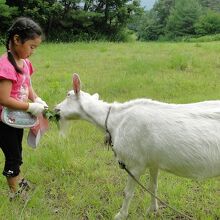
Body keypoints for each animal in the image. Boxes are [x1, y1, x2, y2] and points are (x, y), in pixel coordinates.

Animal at [55, 74, 220, 220]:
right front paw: (152, 210)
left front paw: (120, 215)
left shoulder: (134, 164)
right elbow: (153, 186)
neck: (115, 121)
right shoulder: (153, 161)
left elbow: (127, 192)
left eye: (68, 94)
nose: (55, 109)